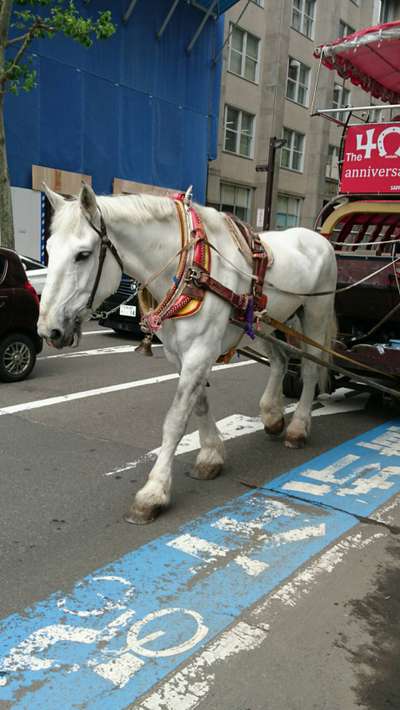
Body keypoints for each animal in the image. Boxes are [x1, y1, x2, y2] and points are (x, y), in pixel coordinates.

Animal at [38, 186, 338, 524]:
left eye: (83, 255)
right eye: (48, 250)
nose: (48, 330)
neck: (189, 268)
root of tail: (319, 238)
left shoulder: (200, 351)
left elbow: (175, 420)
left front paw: (153, 492)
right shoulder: (182, 355)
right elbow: (199, 405)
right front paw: (211, 455)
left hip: (315, 313)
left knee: (310, 370)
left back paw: (298, 428)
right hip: (266, 322)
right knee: (281, 359)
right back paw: (272, 416)